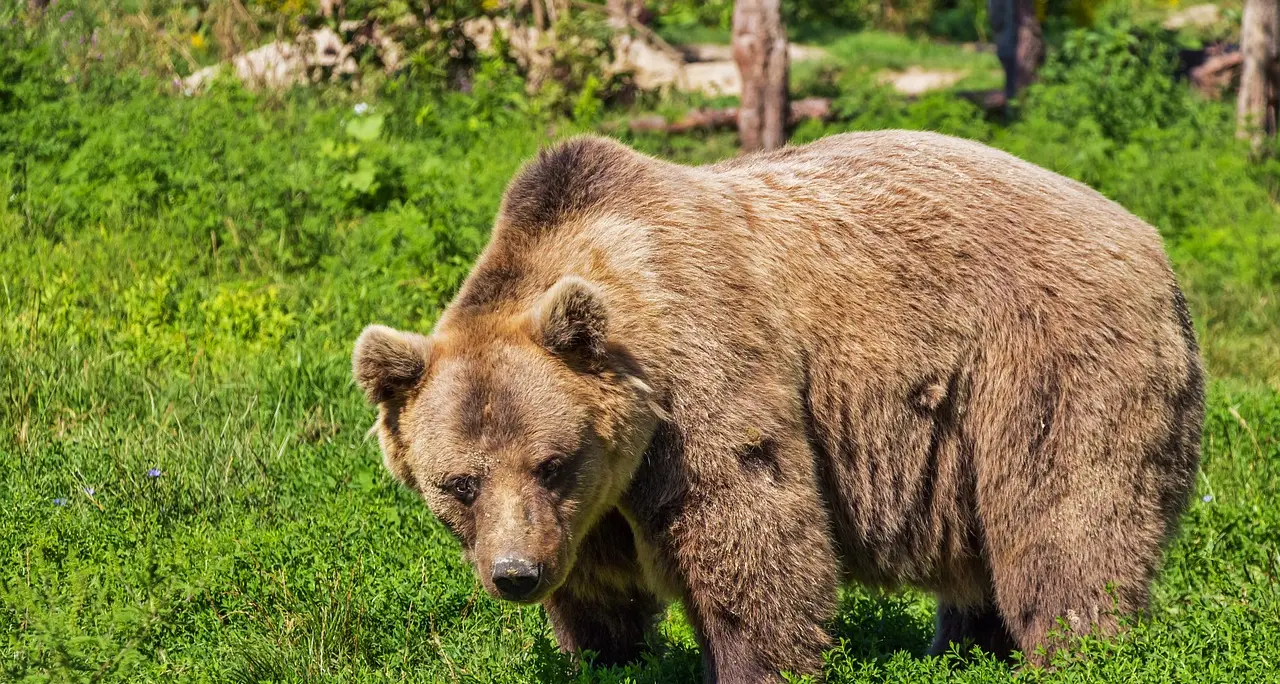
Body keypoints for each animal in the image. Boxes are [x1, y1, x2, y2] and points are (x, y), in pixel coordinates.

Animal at [352, 131, 1204, 682]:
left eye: (551, 462)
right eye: (459, 484)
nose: (516, 574)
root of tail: (1152, 242)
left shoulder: (701, 375)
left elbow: (750, 526)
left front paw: (751, 662)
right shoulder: (594, 500)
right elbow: (599, 585)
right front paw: (600, 651)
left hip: (1046, 363)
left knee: (1067, 521)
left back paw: (1076, 648)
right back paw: (965, 647)